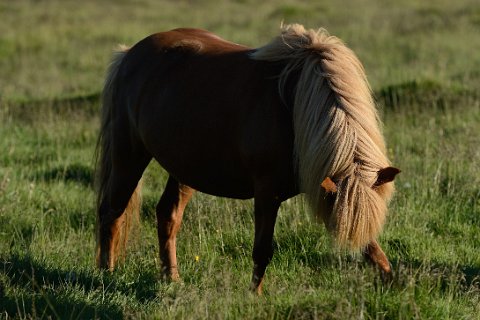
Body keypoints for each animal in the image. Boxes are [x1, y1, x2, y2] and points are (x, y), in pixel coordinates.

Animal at [95, 24, 400, 296]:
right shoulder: (267, 193)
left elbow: (373, 245)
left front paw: (390, 278)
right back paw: (106, 273)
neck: (294, 108)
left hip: (184, 169)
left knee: (167, 215)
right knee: (112, 212)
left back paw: (172, 278)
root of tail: (129, 54)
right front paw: (255, 294)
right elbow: (262, 249)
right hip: (129, 155)